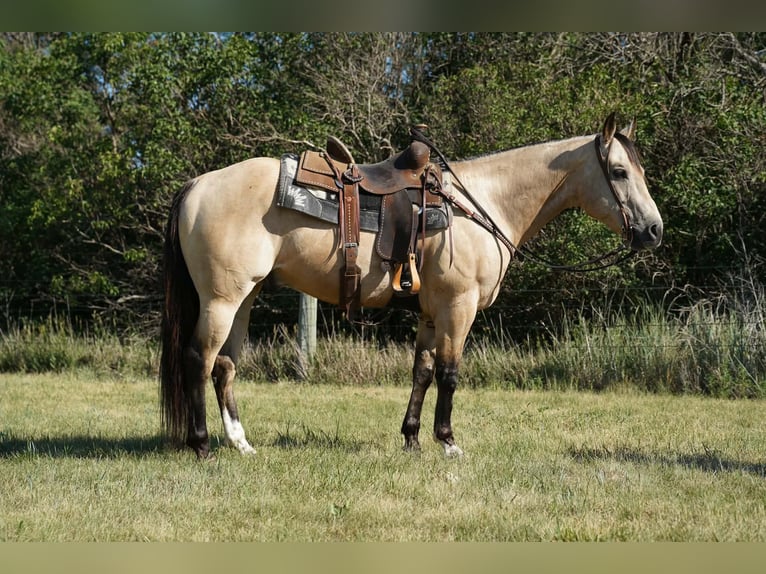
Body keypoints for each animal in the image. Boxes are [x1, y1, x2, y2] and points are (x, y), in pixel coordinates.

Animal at [160, 112, 663, 459]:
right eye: (619, 172)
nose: (655, 230)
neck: (480, 205)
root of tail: (198, 184)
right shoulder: (458, 307)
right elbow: (449, 373)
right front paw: (448, 442)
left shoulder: (430, 312)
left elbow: (421, 372)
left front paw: (412, 439)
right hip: (221, 300)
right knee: (199, 359)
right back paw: (201, 444)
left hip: (245, 298)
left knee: (225, 366)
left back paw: (241, 443)